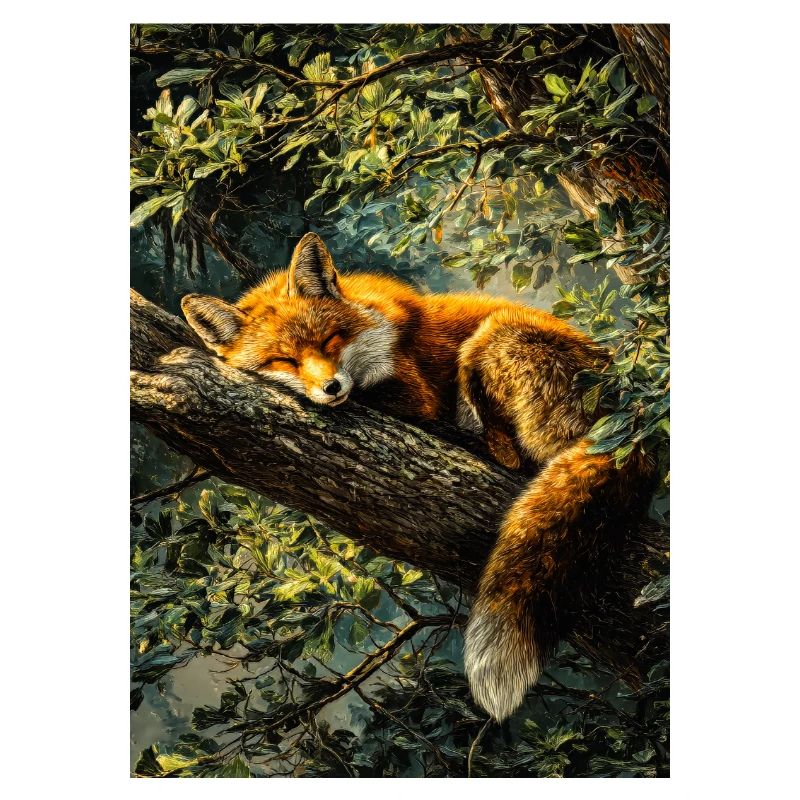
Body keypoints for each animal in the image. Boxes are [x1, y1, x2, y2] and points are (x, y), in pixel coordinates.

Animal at [182, 232, 651, 722]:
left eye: (330, 339)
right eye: (283, 359)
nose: (331, 388)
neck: (374, 329)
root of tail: (631, 422)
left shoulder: (414, 393)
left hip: (492, 337)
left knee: (513, 457)